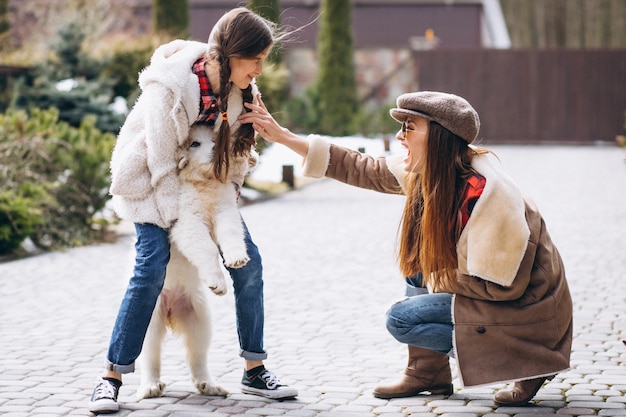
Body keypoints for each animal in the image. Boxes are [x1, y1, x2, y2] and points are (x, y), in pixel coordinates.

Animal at [138, 125, 258, 398]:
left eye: (216, 139)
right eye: (195, 143)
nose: (215, 150)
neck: (204, 182)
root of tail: (171, 309)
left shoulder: (226, 210)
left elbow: (231, 234)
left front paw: (236, 258)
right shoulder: (187, 221)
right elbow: (206, 247)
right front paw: (218, 282)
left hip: (200, 319)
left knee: (197, 356)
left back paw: (208, 384)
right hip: (151, 319)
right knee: (150, 354)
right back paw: (150, 385)